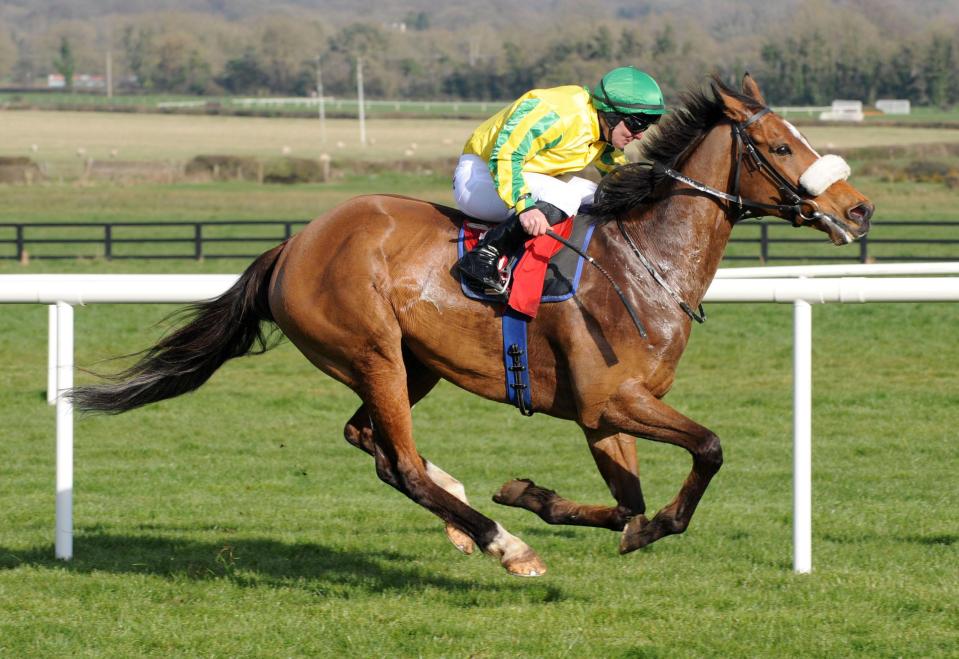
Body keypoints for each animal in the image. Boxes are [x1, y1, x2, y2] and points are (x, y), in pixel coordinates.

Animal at [71, 75, 872, 576]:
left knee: (369, 440)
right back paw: (499, 542)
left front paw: (530, 493)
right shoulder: (611, 400)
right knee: (395, 459)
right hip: (374, 352)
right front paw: (550, 515)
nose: (858, 208)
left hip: (412, 363)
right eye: (780, 147)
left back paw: (465, 513)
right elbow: (707, 448)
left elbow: (627, 505)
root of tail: (294, 245)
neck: (644, 264)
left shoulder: (602, 413)